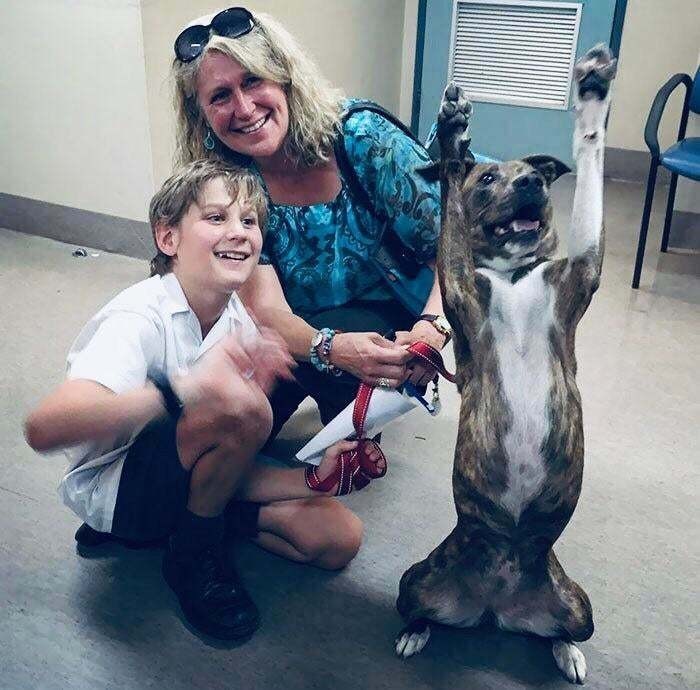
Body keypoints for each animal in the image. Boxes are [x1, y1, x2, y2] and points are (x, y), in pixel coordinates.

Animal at [394, 45, 617, 684]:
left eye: (536, 175)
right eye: (489, 178)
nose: (531, 184)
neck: (514, 275)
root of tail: (496, 605)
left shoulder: (581, 270)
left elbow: (591, 161)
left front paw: (592, 100)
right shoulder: (459, 290)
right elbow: (447, 200)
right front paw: (451, 137)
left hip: (578, 603)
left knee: (564, 631)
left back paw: (566, 652)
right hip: (416, 578)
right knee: (418, 609)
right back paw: (415, 634)